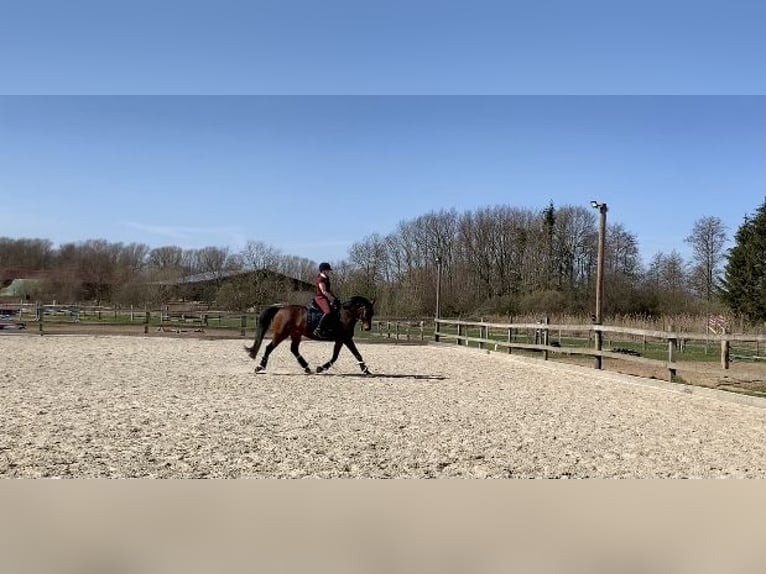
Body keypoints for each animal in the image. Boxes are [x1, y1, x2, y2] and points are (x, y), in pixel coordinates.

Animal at [245, 296, 375, 375]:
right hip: (281, 334)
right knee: (269, 348)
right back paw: (260, 367)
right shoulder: (346, 339)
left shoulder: (341, 340)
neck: (344, 315)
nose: (367, 328)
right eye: (366, 311)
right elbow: (355, 354)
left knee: (294, 349)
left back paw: (306, 368)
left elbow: (337, 356)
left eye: (372, 313)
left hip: (296, 334)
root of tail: (281, 308)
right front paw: (365, 370)